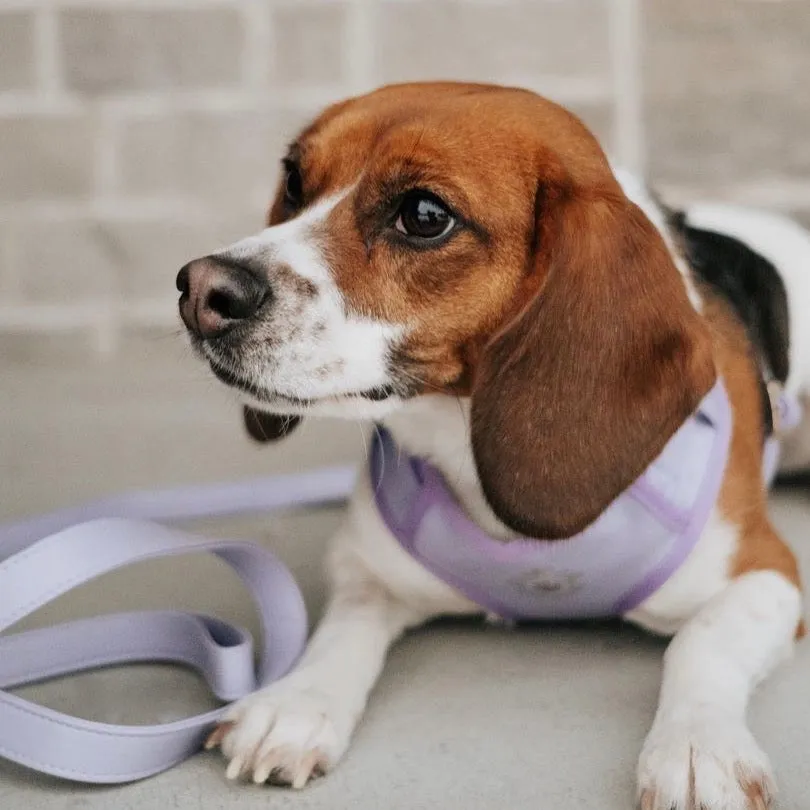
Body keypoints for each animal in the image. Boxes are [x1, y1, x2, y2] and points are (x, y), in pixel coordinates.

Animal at [177, 82, 808, 808]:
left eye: (425, 215)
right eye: (294, 181)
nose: (199, 290)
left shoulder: (767, 574)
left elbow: (701, 643)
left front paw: (699, 745)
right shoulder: (365, 568)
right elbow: (341, 632)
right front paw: (297, 702)